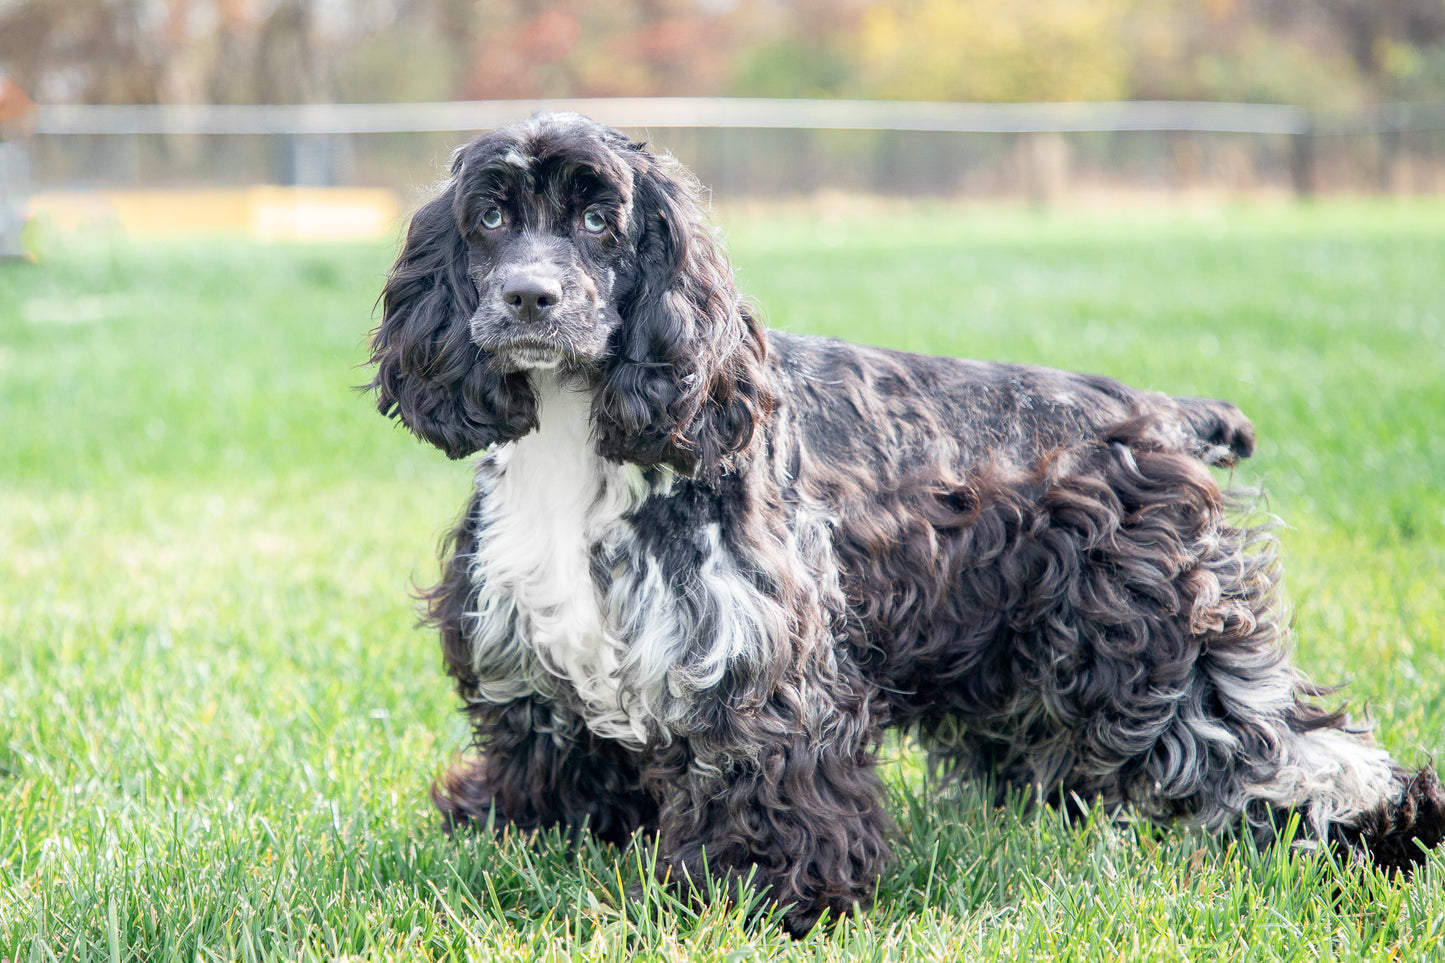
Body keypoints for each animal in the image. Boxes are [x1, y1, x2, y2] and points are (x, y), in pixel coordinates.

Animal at [367, 110, 1439, 931]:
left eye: (599, 220)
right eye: (489, 215)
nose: (528, 295)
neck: (578, 441)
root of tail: (1169, 415)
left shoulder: (763, 666)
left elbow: (773, 787)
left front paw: (768, 899)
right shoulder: (535, 647)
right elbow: (547, 758)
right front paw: (513, 834)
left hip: (1166, 655)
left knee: (1305, 754)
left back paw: (1393, 841)